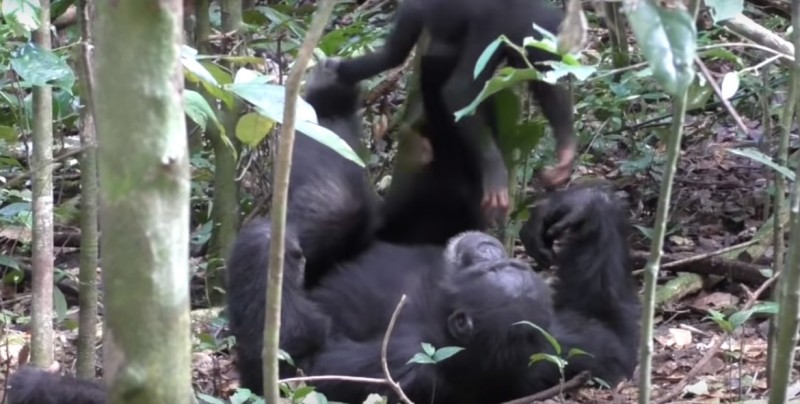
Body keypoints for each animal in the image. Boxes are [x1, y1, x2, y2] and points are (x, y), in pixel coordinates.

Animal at [322, 0, 580, 223]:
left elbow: (545, 90)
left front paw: (566, 156)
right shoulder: (491, 28)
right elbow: (459, 91)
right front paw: (495, 175)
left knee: (403, 56)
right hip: (415, 8)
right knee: (395, 54)